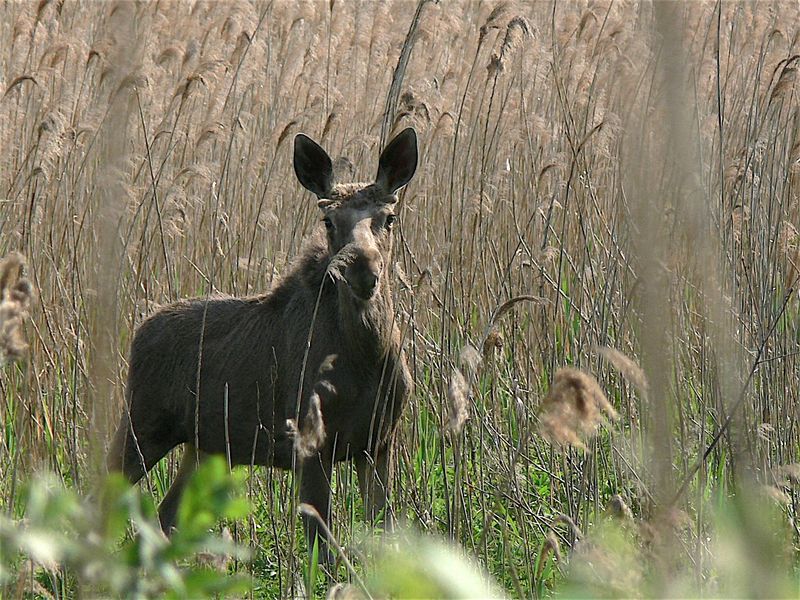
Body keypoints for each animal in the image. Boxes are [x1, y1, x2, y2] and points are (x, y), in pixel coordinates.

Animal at [108, 126, 418, 556]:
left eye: (389, 218)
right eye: (327, 220)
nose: (362, 268)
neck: (367, 359)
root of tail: (139, 332)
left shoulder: (379, 444)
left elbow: (386, 537)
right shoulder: (310, 443)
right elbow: (322, 551)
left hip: (204, 446)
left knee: (165, 515)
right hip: (144, 423)